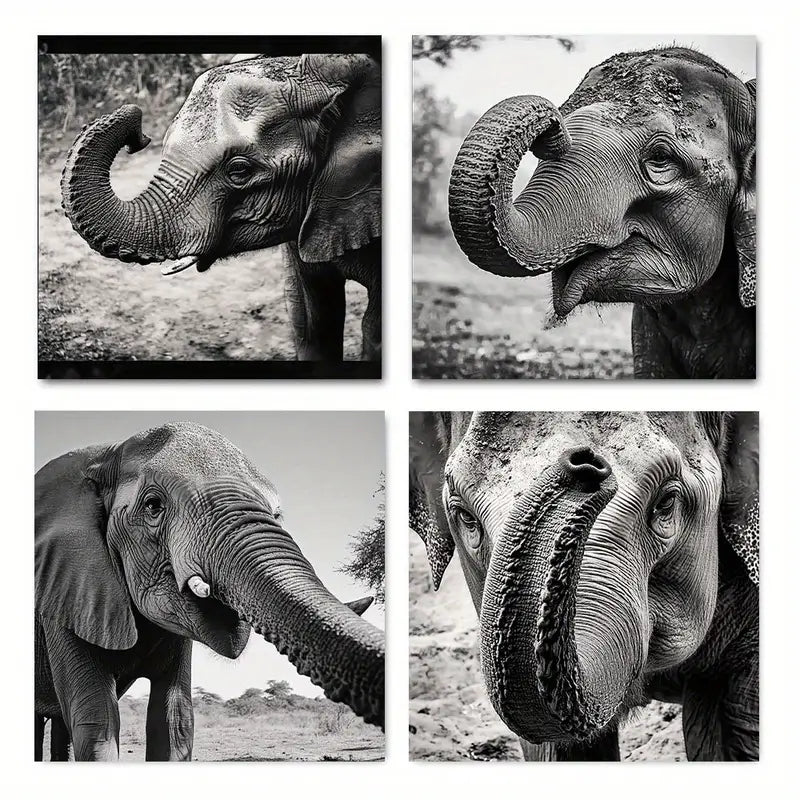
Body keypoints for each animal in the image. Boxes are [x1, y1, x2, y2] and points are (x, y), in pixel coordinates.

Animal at [35, 422, 384, 761]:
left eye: (277, 515)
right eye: (153, 505)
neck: (104, 457)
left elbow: (173, 720)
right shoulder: (66, 591)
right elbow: (97, 722)